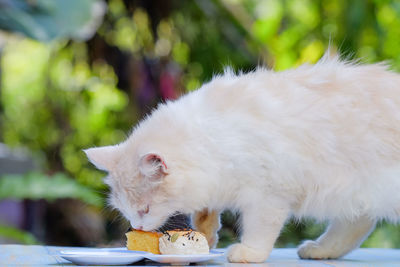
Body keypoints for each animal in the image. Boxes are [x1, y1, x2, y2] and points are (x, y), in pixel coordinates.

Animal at [85, 55, 400, 264]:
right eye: (127, 211)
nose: (138, 228)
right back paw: (320, 251)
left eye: (145, 210)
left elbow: (259, 230)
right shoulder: (216, 186)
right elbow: (204, 214)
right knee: (356, 224)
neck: (215, 137)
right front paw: (205, 238)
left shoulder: (268, 196)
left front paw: (248, 253)